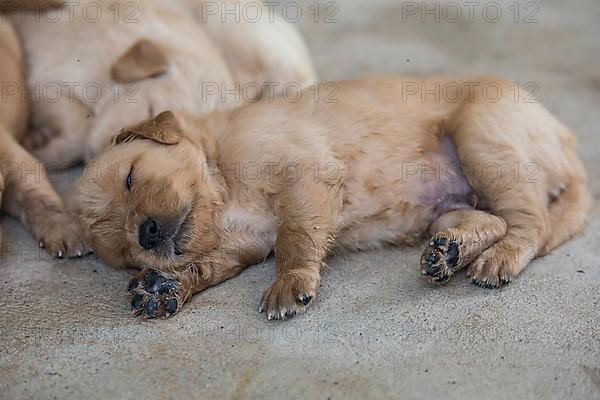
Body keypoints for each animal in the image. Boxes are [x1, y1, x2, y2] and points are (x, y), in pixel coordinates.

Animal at [71, 76, 592, 320]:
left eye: (131, 178)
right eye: (123, 248)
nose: (146, 233)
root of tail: (566, 139)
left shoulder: (304, 175)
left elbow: (295, 239)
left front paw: (289, 284)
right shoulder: (241, 247)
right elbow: (205, 266)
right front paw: (165, 286)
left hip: (480, 137)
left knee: (530, 223)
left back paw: (498, 257)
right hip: (451, 202)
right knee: (495, 220)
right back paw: (450, 252)